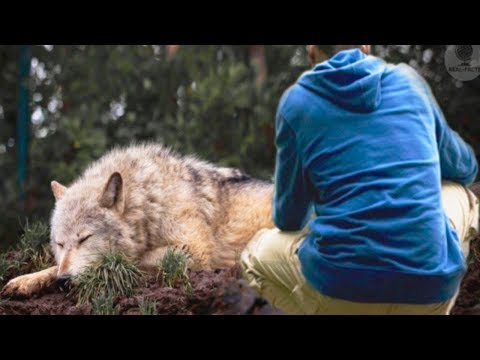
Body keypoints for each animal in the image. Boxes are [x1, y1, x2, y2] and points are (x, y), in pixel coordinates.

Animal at [0, 143, 274, 298]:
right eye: (59, 244)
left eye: (85, 238)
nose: (63, 282)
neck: (150, 200)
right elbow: (53, 267)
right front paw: (26, 281)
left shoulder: (195, 251)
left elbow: (127, 261)